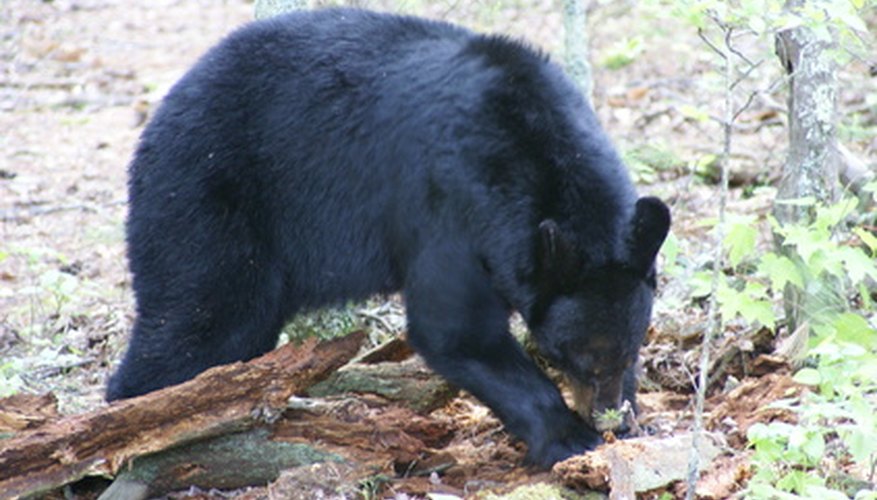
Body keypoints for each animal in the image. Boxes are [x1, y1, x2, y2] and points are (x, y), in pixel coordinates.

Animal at [109, 7, 672, 468]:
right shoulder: (451, 208)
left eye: (630, 349)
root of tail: (156, 121)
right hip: (205, 200)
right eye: (573, 356)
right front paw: (569, 437)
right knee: (202, 320)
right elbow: (455, 329)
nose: (608, 415)